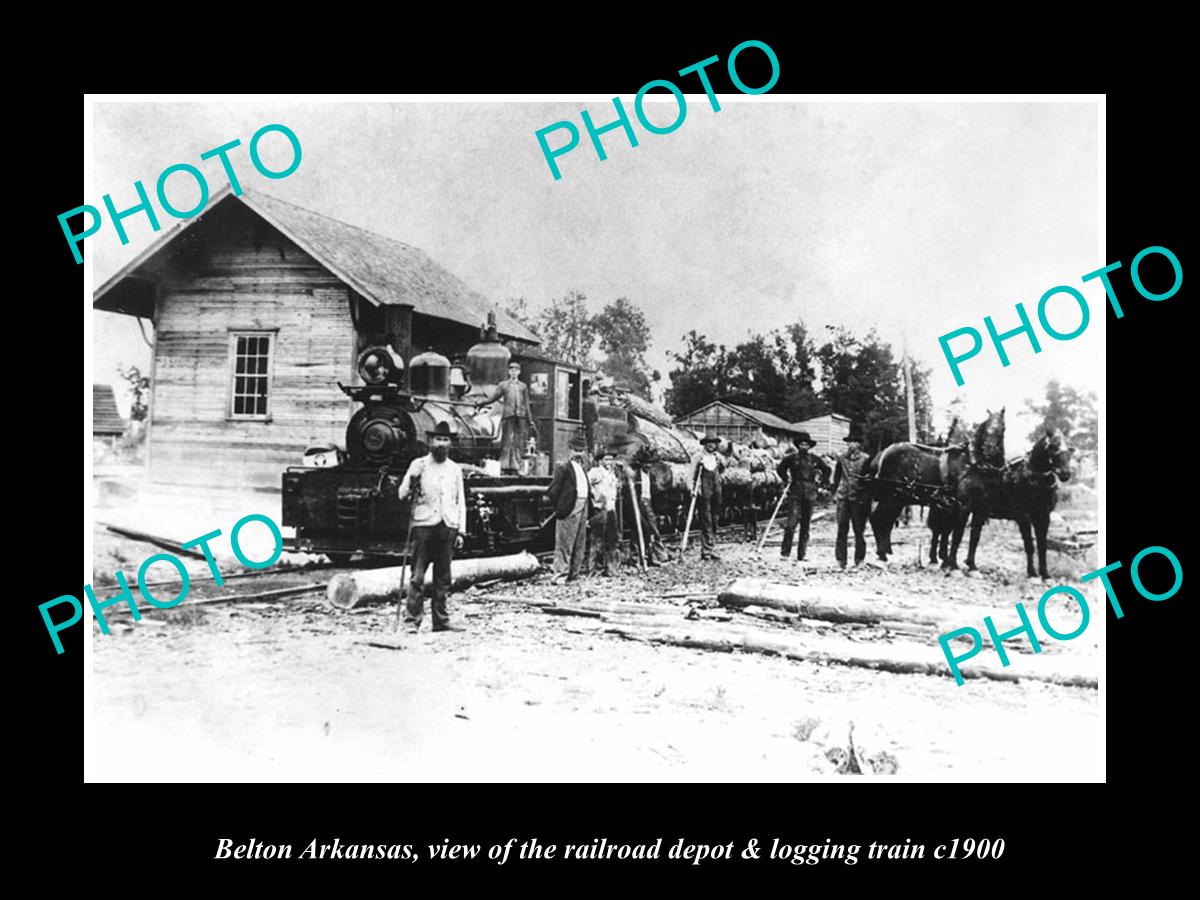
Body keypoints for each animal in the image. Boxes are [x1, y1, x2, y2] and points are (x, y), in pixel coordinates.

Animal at [868, 410, 1008, 566]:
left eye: (1003, 428)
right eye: (986, 428)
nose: (989, 450)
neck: (976, 465)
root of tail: (883, 453)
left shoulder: (980, 507)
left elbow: (973, 536)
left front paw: (970, 564)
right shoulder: (963, 505)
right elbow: (956, 534)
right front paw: (951, 563)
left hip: (898, 500)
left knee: (887, 522)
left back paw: (885, 552)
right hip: (893, 497)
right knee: (877, 519)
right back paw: (882, 554)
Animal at [993, 427, 1080, 578]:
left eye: (1069, 448)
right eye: (1052, 446)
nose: (1065, 474)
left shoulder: (1044, 516)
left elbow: (1042, 545)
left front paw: (1045, 573)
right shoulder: (1023, 516)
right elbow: (1029, 545)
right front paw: (1032, 572)